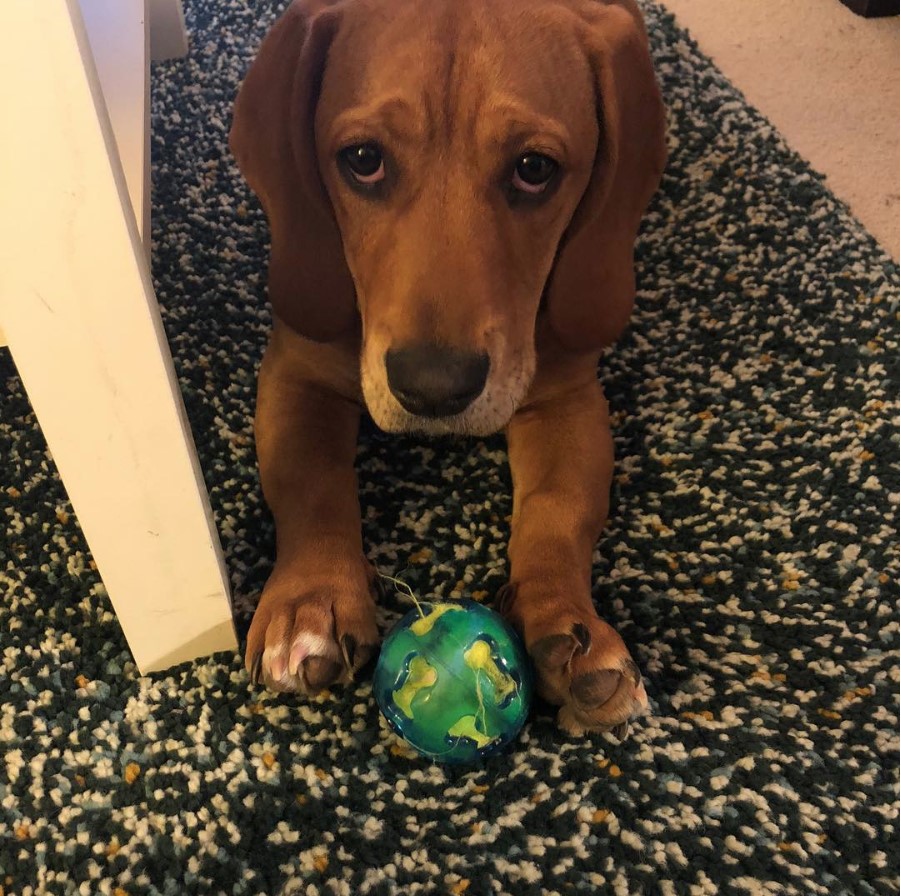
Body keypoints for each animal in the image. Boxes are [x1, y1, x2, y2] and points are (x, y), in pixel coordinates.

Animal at [230, 0, 668, 732]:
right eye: (362, 160)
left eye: (534, 169)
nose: (433, 390)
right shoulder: (297, 371)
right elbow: (309, 482)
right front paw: (310, 601)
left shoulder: (568, 397)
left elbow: (558, 512)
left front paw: (567, 623)